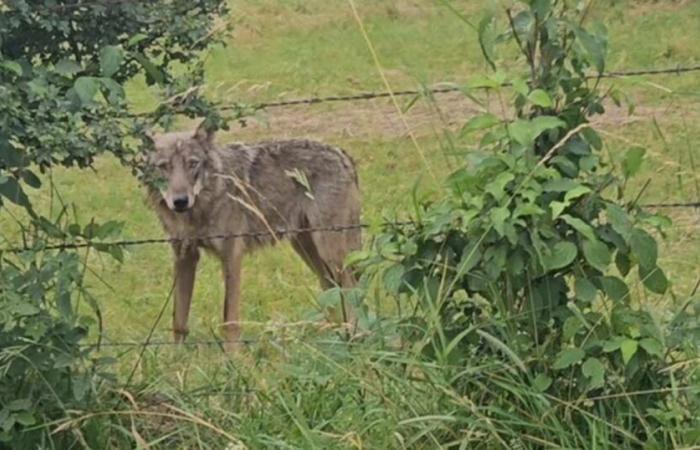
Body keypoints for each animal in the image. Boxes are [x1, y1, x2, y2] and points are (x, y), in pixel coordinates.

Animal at [142, 122, 360, 348]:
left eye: (192, 164)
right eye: (163, 166)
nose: (180, 201)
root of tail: (342, 154)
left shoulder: (232, 256)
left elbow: (230, 320)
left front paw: (232, 357)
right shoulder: (184, 257)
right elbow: (179, 321)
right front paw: (175, 356)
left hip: (330, 252)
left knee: (350, 287)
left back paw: (353, 335)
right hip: (308, 250)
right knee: (330, 288)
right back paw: (333, 336)